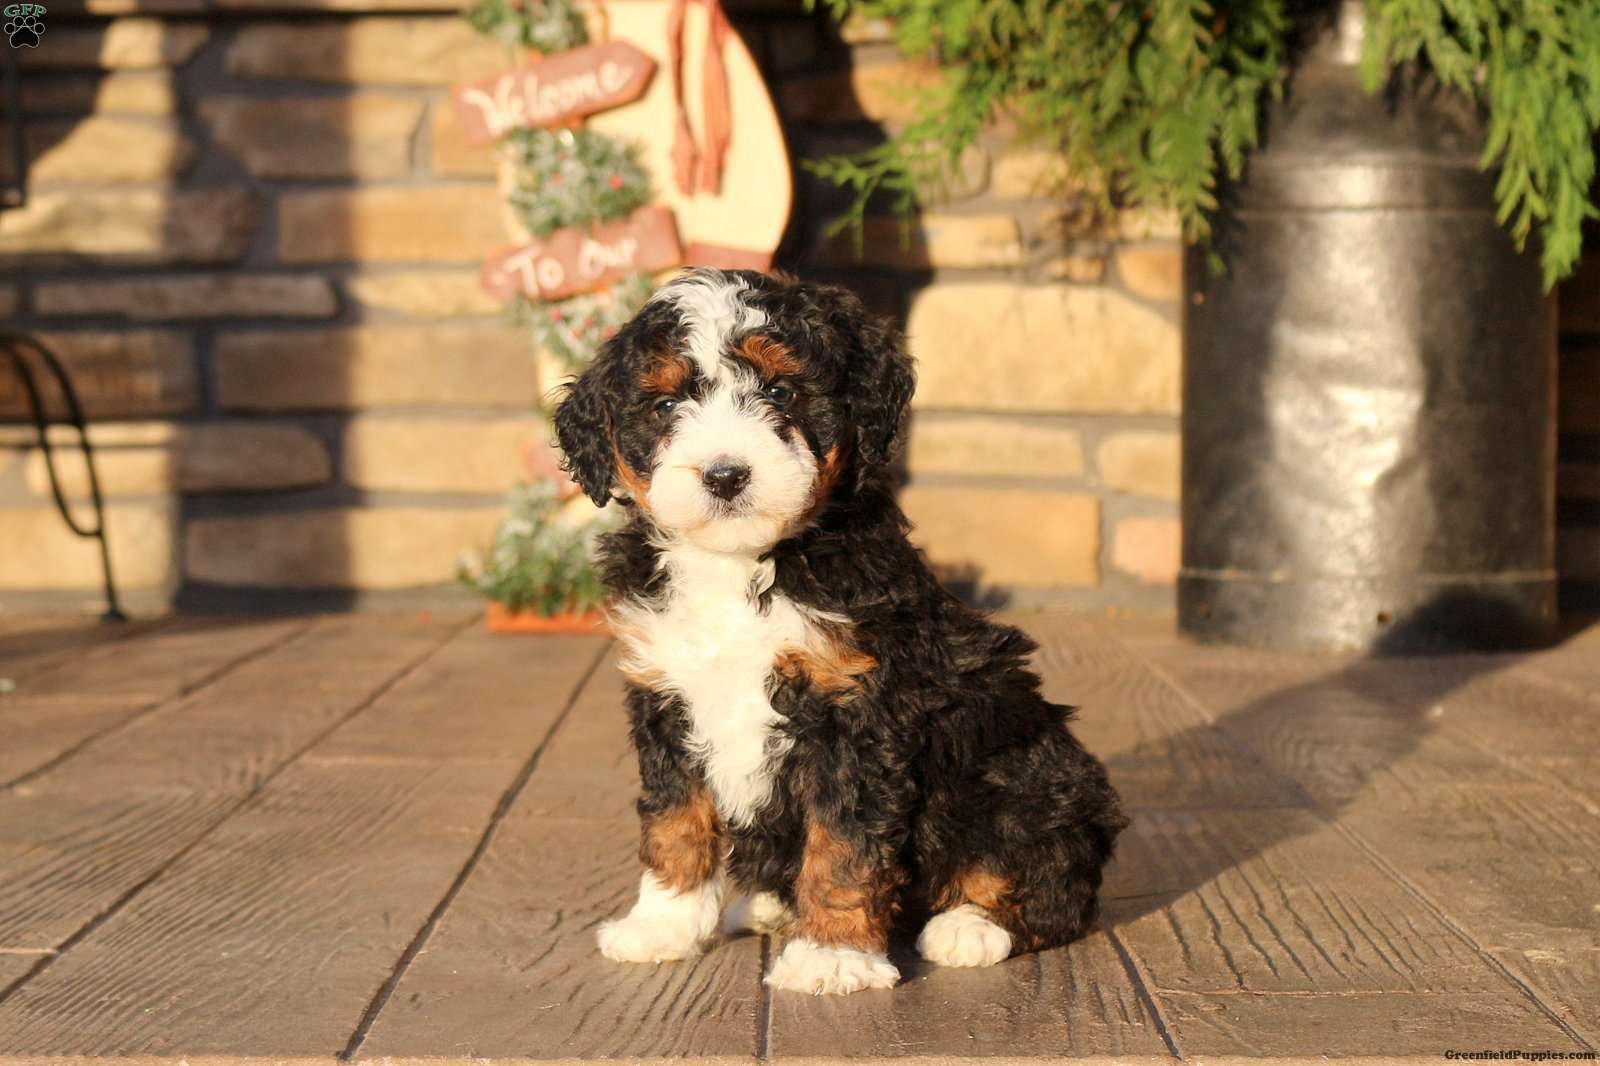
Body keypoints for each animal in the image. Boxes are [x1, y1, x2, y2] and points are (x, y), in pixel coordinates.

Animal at [553, 267, 1127, 995]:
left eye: (779, 391)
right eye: (664, 406)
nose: (724, 475)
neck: (745, 564)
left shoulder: (857, 709)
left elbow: (844, 842)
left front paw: (831, 956)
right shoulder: (666, 697)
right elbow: (674, 818)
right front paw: (664, 925)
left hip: (1020, 767)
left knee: (1049, 881)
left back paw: (970, 926)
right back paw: (768, 903)